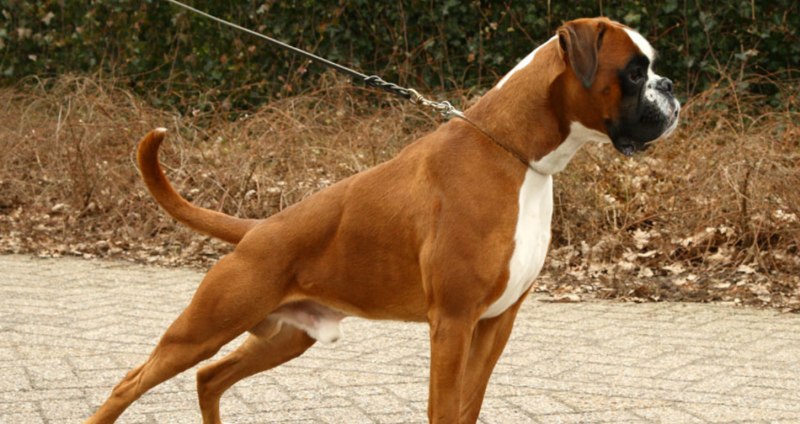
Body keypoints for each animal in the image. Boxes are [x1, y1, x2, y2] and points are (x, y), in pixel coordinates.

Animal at [87, 17, 679, 423]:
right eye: (633, 72)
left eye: (650, 67)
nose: (671, 86)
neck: (513, 154)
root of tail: (255, 230)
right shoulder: (453, 322)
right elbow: (445, 410)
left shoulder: (496, 322)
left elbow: (468, 406)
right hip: (203, 328)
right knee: (127, 385)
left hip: (285, 337)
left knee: (210, 379)